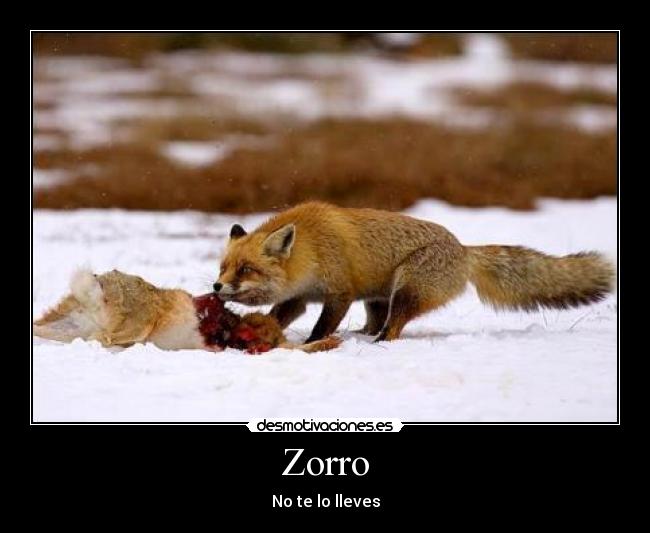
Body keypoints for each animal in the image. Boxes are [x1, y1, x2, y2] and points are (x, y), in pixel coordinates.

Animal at [214, 201, 615, 342]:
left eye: (246, 269)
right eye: (224, 267)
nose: (216, 287)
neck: (311, 251)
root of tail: (464, 249)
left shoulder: (340, 292)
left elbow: (322, 326)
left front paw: (312, 343)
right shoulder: (298, 297)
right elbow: (279, 315)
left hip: (405, 290)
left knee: (393, 327)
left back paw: (378, 342)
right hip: (378, 297)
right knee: (376, 321)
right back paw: (364, 334)